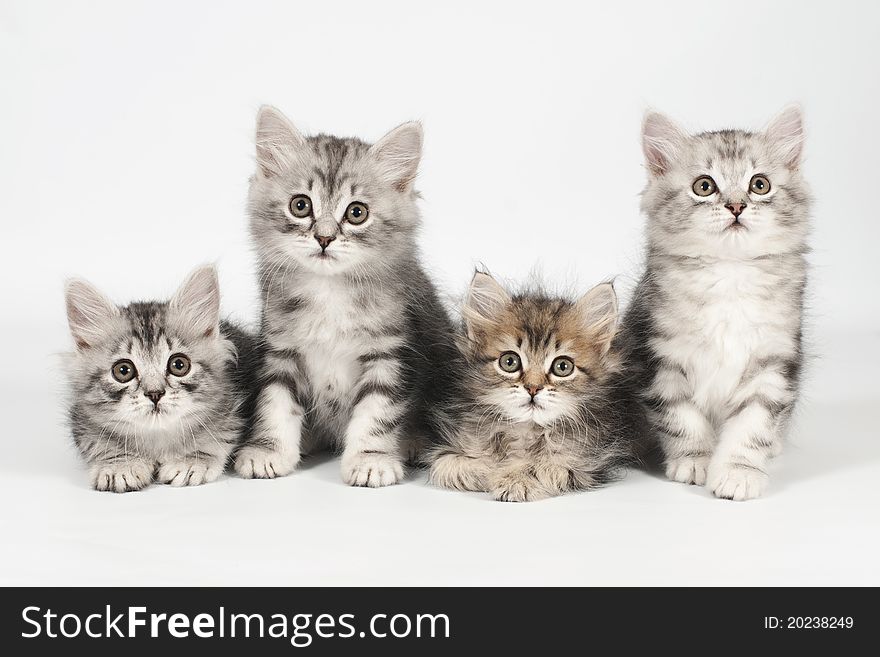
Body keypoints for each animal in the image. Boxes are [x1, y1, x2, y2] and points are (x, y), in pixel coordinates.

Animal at [62, 264, 253, 490]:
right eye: (123, 370)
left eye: (179, 365)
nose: (155, 394)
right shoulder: (83, 421)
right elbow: (98, 443)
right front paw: (121, 464)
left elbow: (218, 437)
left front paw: (191, 460)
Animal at [237, 107, 458, 484]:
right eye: (300, 205)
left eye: (357, 213)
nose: (324, 238)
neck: (330, 291)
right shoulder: (281, 350)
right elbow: (275, 404)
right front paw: (268, 451)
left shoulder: (389, 354)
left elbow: (375, 413)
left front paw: (371, 460)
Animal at [624, 107, 812, 500]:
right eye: (704, 186)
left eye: (759, 185)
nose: (736, 206)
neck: (730, 271)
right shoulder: (660, 357)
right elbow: (682, 418)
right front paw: (696, 461)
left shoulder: (772, 359)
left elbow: (753, 425)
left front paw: (738, 474)